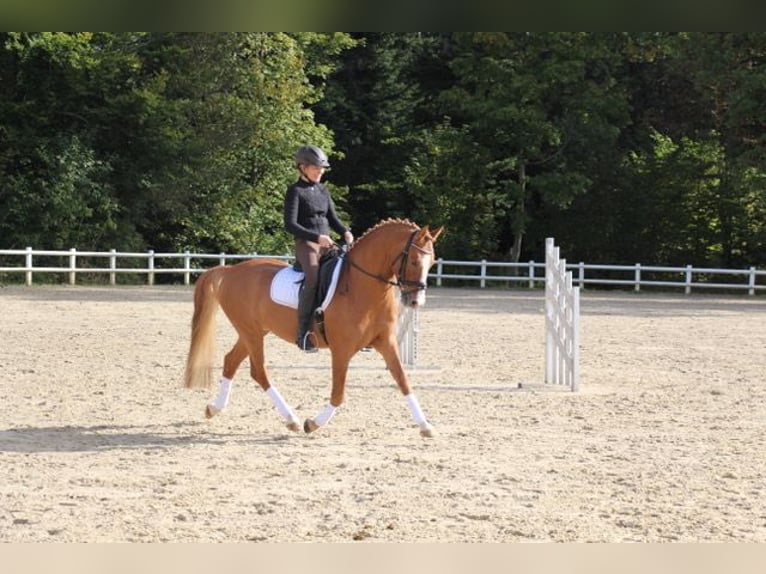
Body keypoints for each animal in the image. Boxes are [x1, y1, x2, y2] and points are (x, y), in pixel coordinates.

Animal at [184, 218, 444, 438]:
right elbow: (338, 394)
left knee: (231, 361)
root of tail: (231, 270)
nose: (415, 302)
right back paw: (292, 419)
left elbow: (403, 381)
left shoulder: (386, 343)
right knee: (259, 372)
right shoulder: (341, 349)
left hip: (253, 332)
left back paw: (213, 408)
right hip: (251, 332)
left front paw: (426, 426)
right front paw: (314, 423)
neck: (362, 288)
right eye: (413, 260)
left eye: (432, 262)